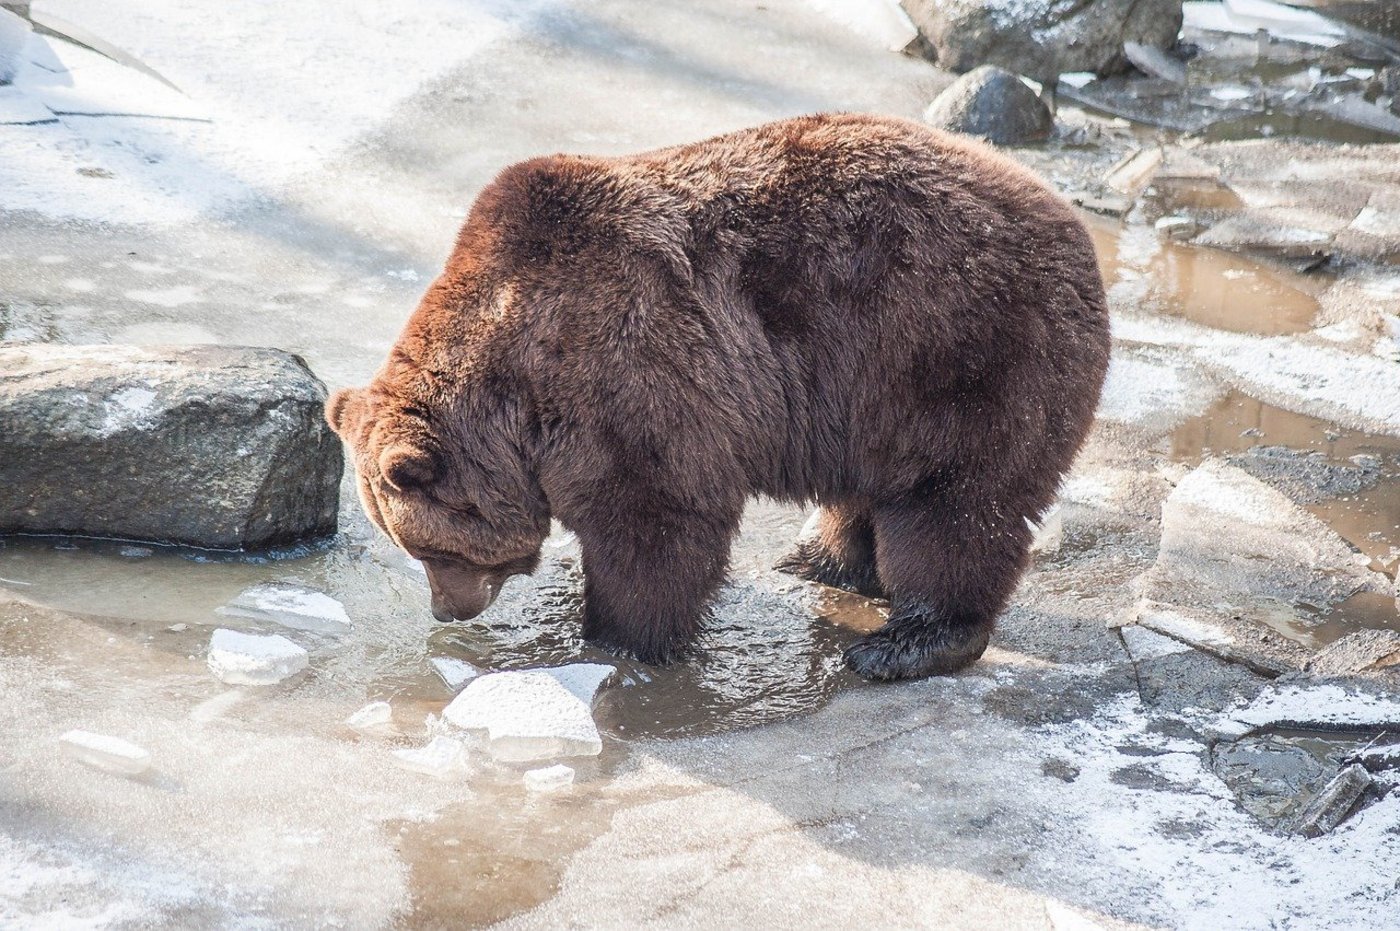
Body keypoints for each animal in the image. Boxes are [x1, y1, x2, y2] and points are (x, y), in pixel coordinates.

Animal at [326, 112, 1110, 681]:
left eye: (431, 548)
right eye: (410, 546)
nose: (445, 612)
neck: (517, 391)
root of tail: (1069, 219)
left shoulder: (627, 368)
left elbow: (657, 518)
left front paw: (615, 636)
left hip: (963, 353)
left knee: (957, 504)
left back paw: (904, 643)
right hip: (880, 396)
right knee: (877, 490)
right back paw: (820, 560)